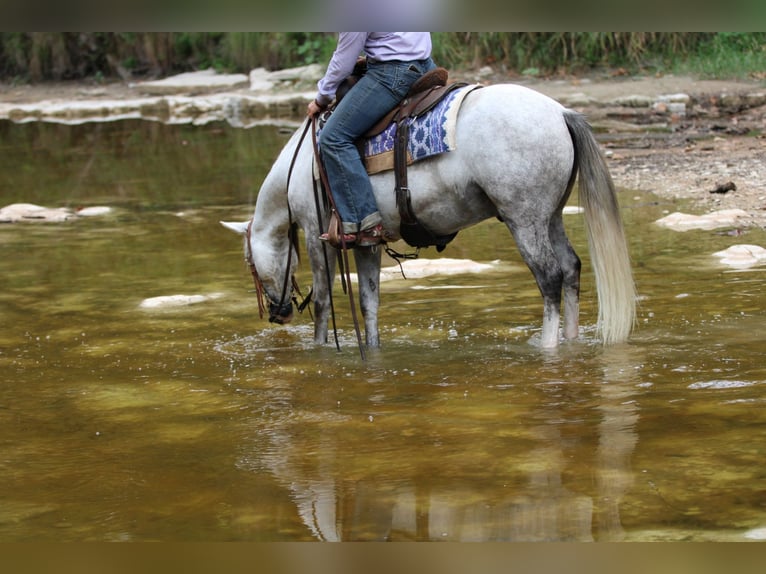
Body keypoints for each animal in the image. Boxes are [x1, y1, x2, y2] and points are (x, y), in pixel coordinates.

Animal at [220, 82, 636, 348]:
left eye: (249, 263)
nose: (278, 314)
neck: (306, 161)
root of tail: (560, 112)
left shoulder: (315, 233)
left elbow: (323, 303)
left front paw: (320, 352)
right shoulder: (366, 241)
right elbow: (370, 303)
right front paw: (373, 351)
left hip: (525, 219)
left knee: (549, 278)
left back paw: (548, 347)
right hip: (551, 217)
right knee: (571, 269)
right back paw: (571, 341)